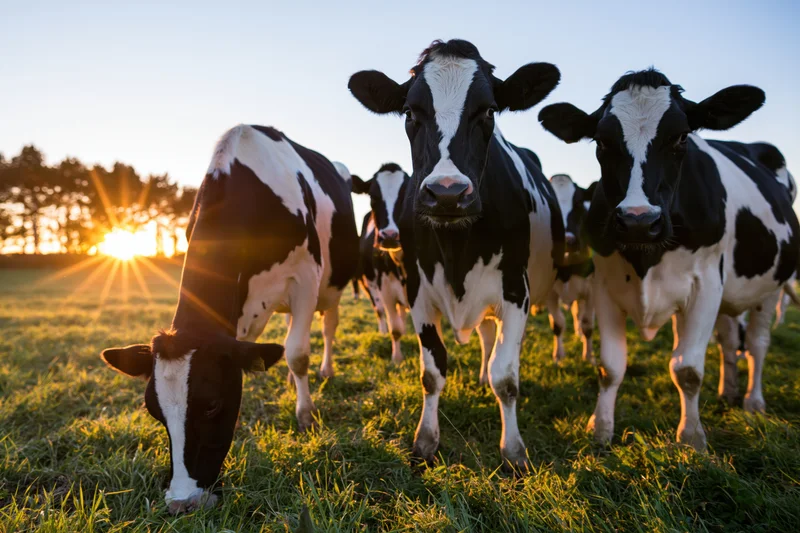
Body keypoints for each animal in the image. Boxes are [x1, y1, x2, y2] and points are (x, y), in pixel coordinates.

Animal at [99, 124, 359, 512]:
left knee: (327, 326)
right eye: (155, 412)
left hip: (334, 284)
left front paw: (305, 416)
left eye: (212, 405)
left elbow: (298, 353)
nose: (182, 502)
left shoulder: (305, 279)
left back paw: (324, 370)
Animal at [352, 163, 411, 362]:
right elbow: (395, 329)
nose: (390, 236)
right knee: (379, 310)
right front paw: (397, 358)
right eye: (373, 196)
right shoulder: (385, 289)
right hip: (368, 282)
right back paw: (383, 331)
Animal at [547, 174, 597, 364]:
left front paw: (589, 356)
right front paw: (558, 355)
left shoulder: (592, 290)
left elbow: (588, 325)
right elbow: (557, 324)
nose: (567, 240)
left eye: (578, 203)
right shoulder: (550, 292)